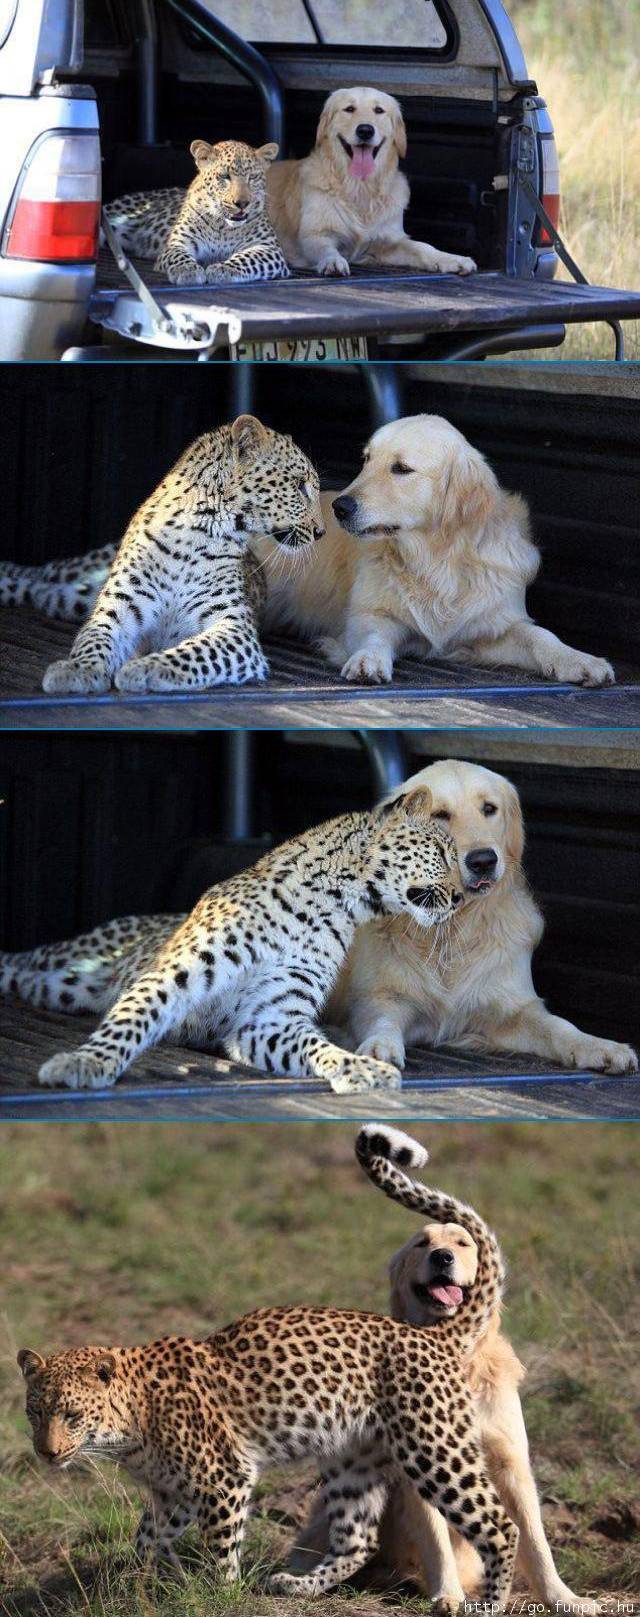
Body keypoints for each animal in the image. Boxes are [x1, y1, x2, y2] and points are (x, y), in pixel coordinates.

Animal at [0, 785, 458, 1093]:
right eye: (440, 852)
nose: (459, 897)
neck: (333, 903)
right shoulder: (173, 976)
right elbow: (130, 1020)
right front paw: (84, 1063)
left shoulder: (269, 1017)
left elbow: (313, 1045)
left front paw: (358, 1068)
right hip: (63, 962)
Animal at [256, 413, 617, 685]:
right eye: (367, 459)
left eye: (401, 468)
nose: (339, 508)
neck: (437, 559)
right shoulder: (369, 614)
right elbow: (374, 635)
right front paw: (368, 660)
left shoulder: (490, 625)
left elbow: (540, 635)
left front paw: (580, 660)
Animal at [265, 87, 475, 278]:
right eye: (349, 109)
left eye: (379, 110)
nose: (365, 130)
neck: (360, 188)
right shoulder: (314, 234)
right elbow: (325, 248)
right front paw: (333, 261)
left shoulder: (389, 240)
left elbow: (422, 247)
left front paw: (453, 259)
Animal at [332, 756, 636, 1073]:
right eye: (440, 814)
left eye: (489, 808)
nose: (483, 861)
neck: (455, 926)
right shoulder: (379, 997)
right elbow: (382, 1020)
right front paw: (379, 1047)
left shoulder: (512, 1006)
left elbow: (557, 1025)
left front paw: (600, 1046)